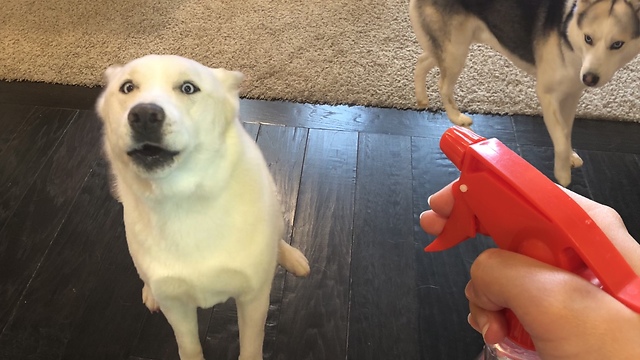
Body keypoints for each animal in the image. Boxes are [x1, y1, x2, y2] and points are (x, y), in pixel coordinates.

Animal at [95, 54, 312, 360]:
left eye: (188, 88)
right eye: (127, 88)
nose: (144, 116)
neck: (183, 199)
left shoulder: (253, 298)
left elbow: (251, 345)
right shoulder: (177, 307)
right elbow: (188, 345)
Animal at [410, 0, 640, 186]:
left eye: (617, 44)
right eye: (588, 39)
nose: (589, 79)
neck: (568, 32)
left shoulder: (571, 96)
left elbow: (566, 132)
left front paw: (570, 157)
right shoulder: (548, 96)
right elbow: (560, 138)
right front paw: (562, 177)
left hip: (450, 49)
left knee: (421, 63)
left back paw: (421, 98)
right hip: (455, 52)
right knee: (443, 85)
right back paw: (456, 116)